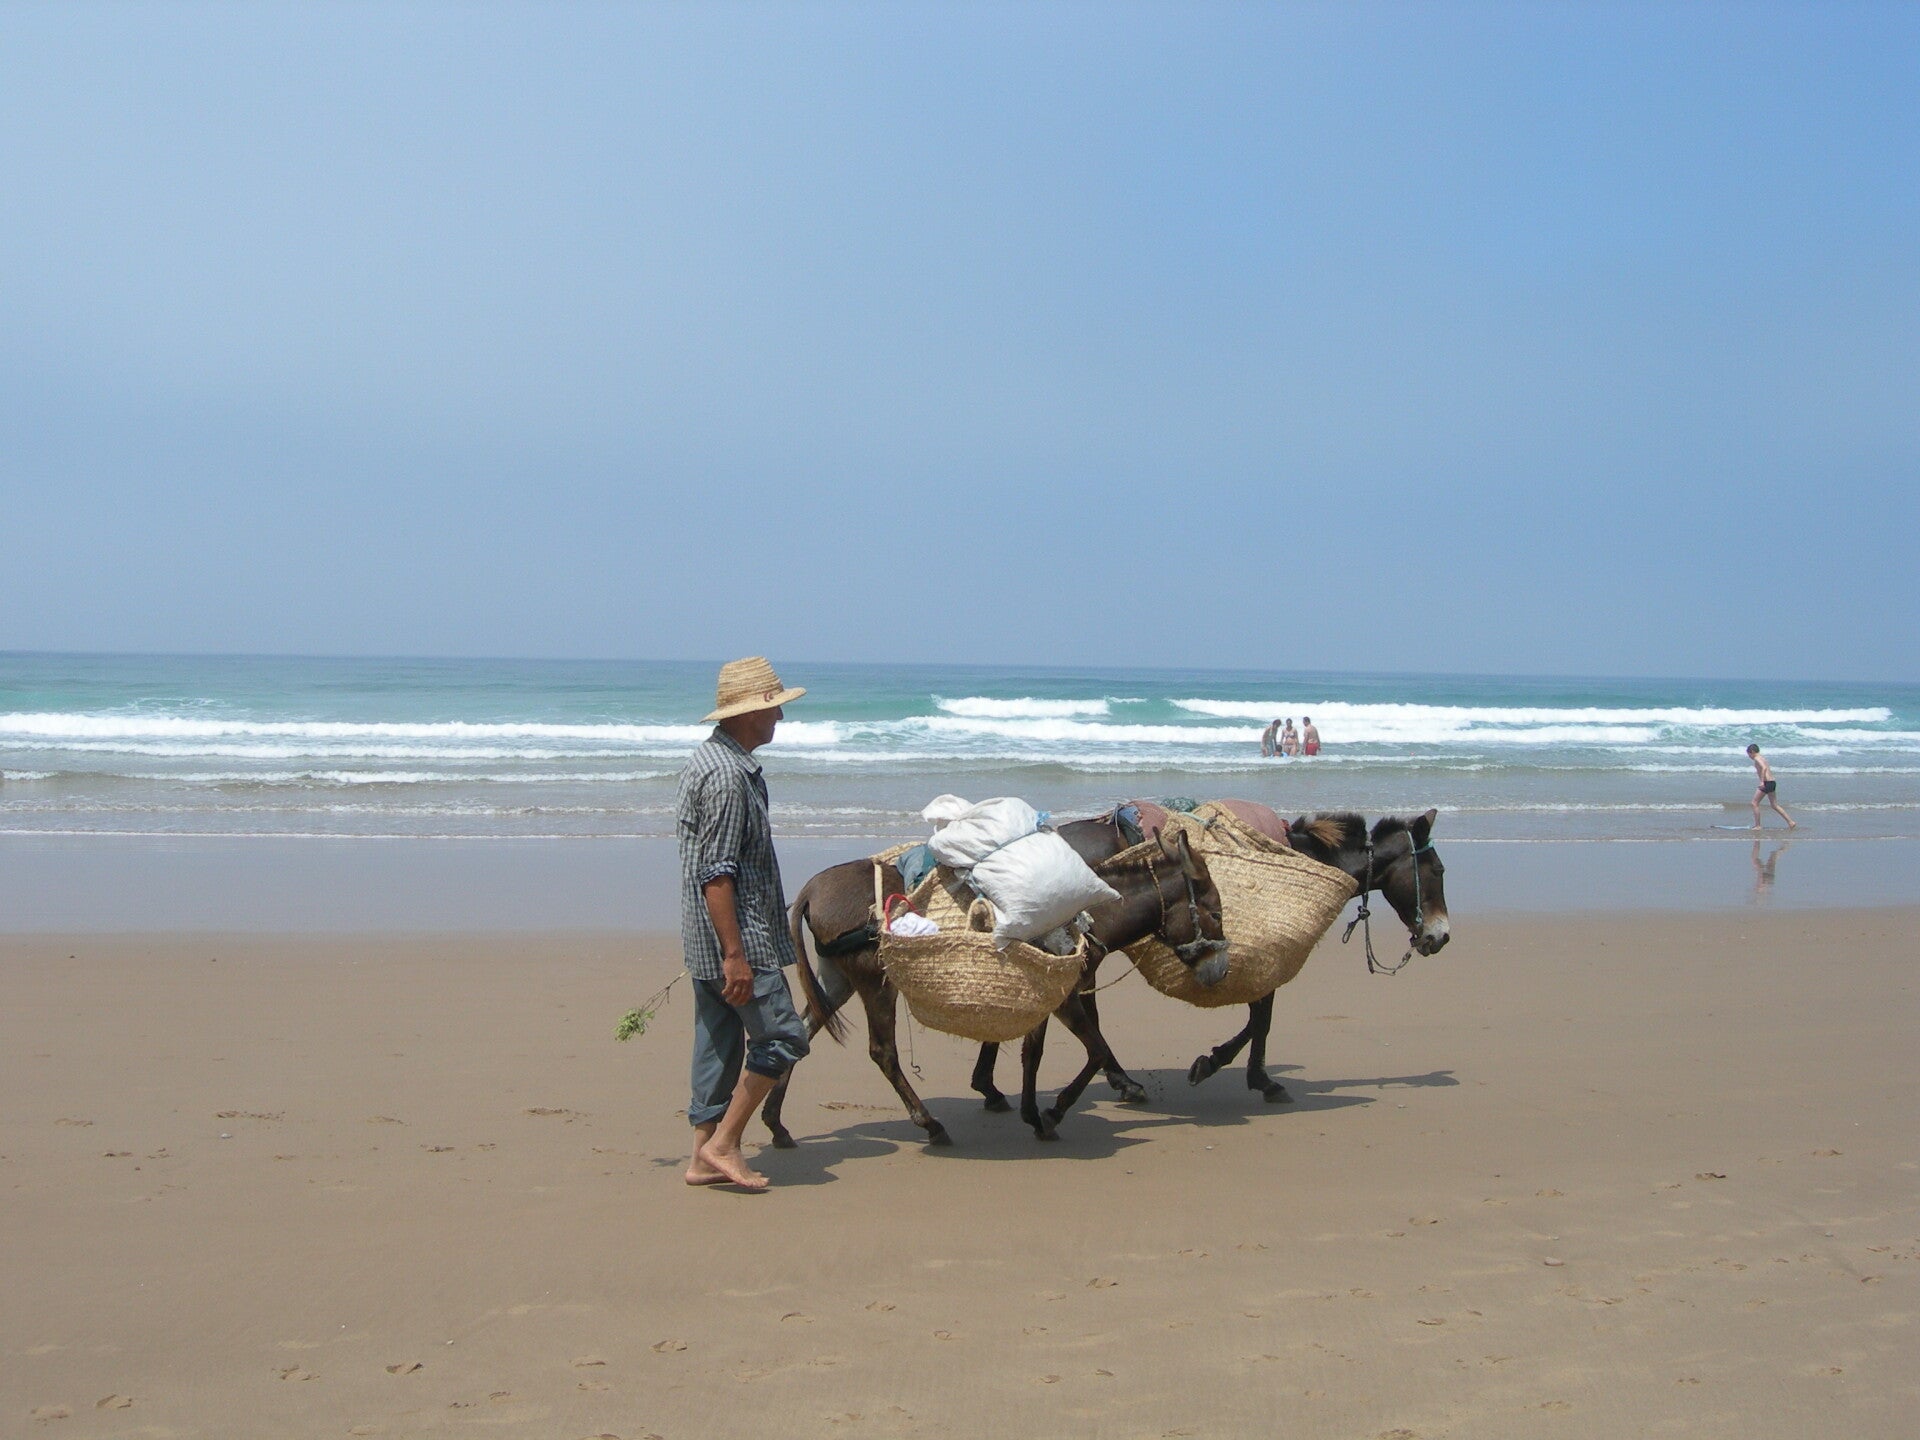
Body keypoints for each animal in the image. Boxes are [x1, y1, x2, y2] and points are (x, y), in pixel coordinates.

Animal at [764, 826, 1229, 1148]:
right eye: (1216, 914)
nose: (1220, 970)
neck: (1085, 918)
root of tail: (811, 889)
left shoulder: (1042, 992)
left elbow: (1031, 1053)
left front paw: (1028, 1112)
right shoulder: (1064, 996)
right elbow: (1094, 1049)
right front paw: (1054, 1112)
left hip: (837, 981)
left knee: (802, 1034)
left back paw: (776, 1124)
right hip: (875, 985)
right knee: (883, 1053)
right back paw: (931, 1126)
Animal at [968, 804, 1451, 1110]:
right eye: (1438, 870)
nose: (1440, 936)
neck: (1300, 854)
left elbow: (1260, 1016)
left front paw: (1235, 1069)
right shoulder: (1264, 954)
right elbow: (1262, 1017)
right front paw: (1237, 1072)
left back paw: (991, 1087)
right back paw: (1118, 1083)